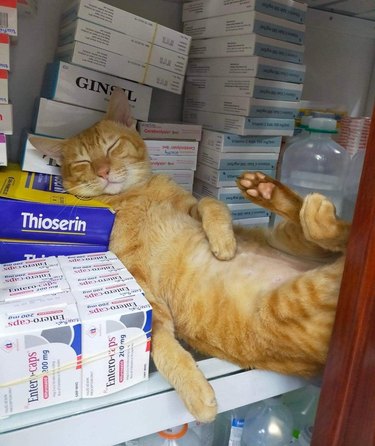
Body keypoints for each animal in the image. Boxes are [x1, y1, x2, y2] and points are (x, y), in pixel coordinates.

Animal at [30, 89, 352, 424]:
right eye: (83, 161)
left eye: (112, 146)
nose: (103, 171)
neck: (133, 197)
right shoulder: (142, 286)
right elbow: (160, 343)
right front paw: (195, 391)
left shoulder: (192, 207)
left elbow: (212, 204)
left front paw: (223, 242)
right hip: (299, 288)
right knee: (337, 238)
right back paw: (281, 198)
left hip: (289, 249)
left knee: (341, 234)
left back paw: (269, 192)